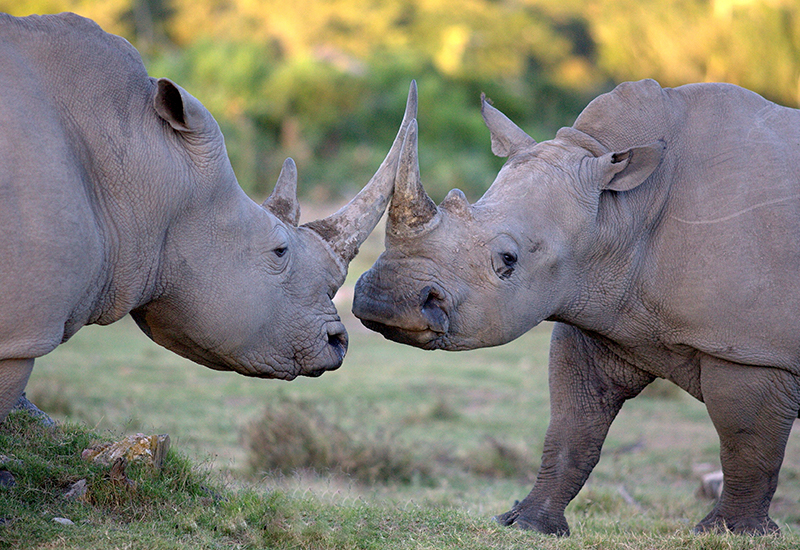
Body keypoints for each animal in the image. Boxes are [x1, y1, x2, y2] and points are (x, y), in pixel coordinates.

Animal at [354, 80, 800, 536]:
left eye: (508, 260)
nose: (385, 303)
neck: (622, 209)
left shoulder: (751, 351)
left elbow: (746, 445)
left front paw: (730, 532)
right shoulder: (599, 309)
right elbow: (572, 428)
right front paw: (527, 524)